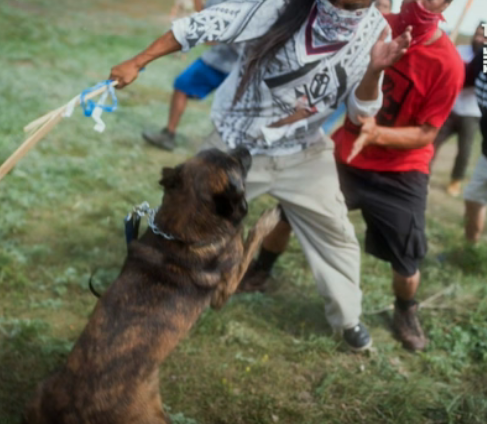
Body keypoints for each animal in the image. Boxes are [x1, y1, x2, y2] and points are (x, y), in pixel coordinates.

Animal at [23, 147, 282, 424]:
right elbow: (251, 239)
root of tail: (72, 413)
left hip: (40, 391)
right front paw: (269, 218)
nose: (245, 148)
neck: (181, 230)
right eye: (236, 165)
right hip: (155, 416)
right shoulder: (226, 287)